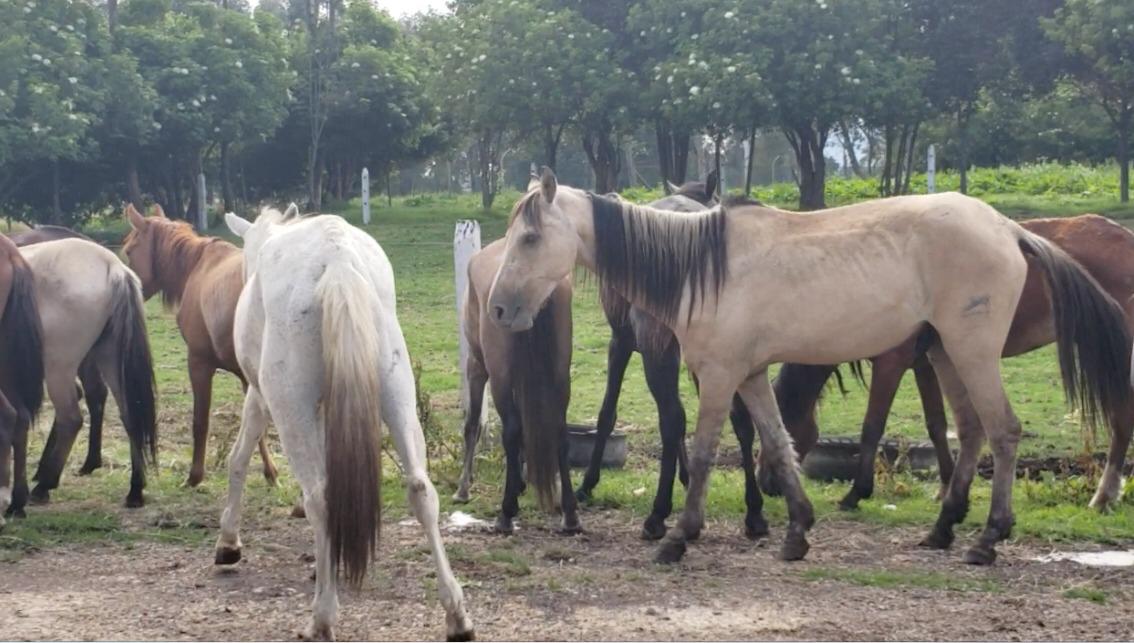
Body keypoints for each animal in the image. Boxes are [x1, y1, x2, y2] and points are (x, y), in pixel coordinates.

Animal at [17, 238, 157, 508]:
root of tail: (113, 266)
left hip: (59, 368)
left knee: (71, 418)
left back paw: (44, 485)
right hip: (110, 358)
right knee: (129, 415)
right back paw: (135, 490)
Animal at [123, 203, 278, 488]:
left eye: (129, 250)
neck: (195, 267)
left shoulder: (198, 362)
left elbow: (200, 421)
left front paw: (195, 476)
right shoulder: (247, 377)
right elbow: (256, 429)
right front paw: (270, 472)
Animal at [216, 206, 473, 641]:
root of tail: (335, 259)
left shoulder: (259, 398)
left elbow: (239, 458)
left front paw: (228, 544)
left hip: (290, 407)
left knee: (319, 498)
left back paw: (322, 617)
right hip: (396, 392)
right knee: (420, 489)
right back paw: (456, 615)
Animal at [452, 235, 578, 534]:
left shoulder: (476, 366)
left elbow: (472, 424)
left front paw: (463, 488)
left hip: (498, 374)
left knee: (510, 429)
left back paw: (506, 514)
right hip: (559, 373)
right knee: (559, 429)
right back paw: (569, 514)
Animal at [772, 213, 1134, 510]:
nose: (770, 486)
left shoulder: (892, 363)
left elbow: (872, 426)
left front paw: (856, 493)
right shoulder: (925, 364)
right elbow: (936, 425)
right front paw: (946, 487)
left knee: (1121, 420)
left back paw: (1103, 495)